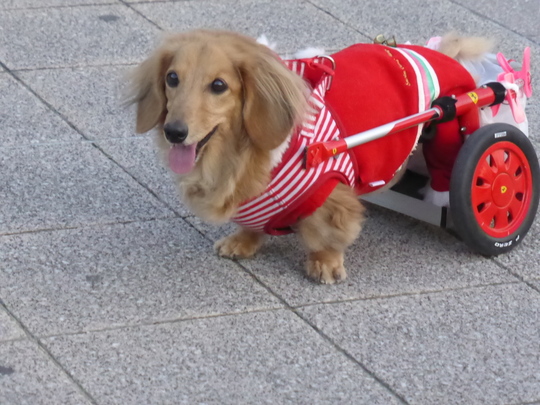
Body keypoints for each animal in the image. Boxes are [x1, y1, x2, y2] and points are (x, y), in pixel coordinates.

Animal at [129, 29, 492, 284]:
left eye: (218, 85)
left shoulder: (331, 188)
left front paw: (325, 262)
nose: (174, 132)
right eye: (172, 78)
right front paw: (244, 240)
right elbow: (253, 222)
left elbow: (328, 231)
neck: (242, 156)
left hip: (451, 126)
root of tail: (435, 54)